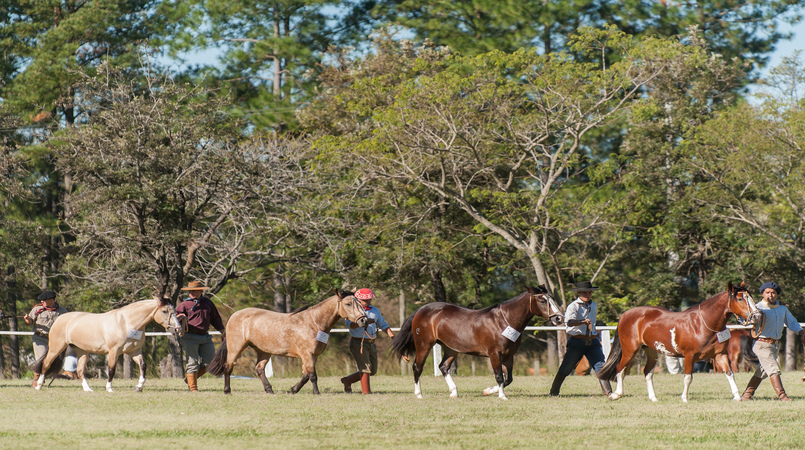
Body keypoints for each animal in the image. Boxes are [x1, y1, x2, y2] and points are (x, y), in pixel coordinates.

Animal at [34, 298, 184, 392]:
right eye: (164, 311)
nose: (178, 329)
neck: (127, 322)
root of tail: (60, 318)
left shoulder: (135, 351)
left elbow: (143, 366)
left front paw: (139, 387)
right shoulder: (114, 351)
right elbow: (111, 369)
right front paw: (109, 388)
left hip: (82, 351)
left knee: (80, 370)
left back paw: (88, 389)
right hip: (56, 347)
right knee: (46, 364)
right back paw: (39, 386)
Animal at [207, 292, 370, 394]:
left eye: (359, 303)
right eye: (348, 304)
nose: (364, 320)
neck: (314, 322)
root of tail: (234, 315)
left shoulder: (313, 356)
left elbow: (305, 376)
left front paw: (292, 390)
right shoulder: (307, 354)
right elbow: (312, 375)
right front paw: (316, 392)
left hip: (263, 351)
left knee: (259, 369)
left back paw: (269, 390)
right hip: (236, 348)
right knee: (228, 367)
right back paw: (227, 391)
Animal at [388, 286, 560, 400]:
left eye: (552, 298)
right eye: (542, 300)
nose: (558, 318)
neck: (504, 322)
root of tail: (420, 310)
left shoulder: (509, 356)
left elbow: (508, 378)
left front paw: (488, 391)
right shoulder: (494, 354)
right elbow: (499, 376)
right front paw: (501, 396)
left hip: (451, 349)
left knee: (443, 367)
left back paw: (454, 392)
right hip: (424, 345)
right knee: (417, 367)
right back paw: (419, 394)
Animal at [596, 284, 760, 402]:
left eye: (750, 297)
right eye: (740, 299)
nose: (757, 316)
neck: (703, 323)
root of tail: (626, 314)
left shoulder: (720, 355)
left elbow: (730, 373)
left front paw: (737, 397)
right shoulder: (689, 356)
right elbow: (688, 378)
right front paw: (684, 398)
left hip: (651, 351)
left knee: (647, 372)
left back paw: (653, 398)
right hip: (630, 349)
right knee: (620, 369)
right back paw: (616, 394)